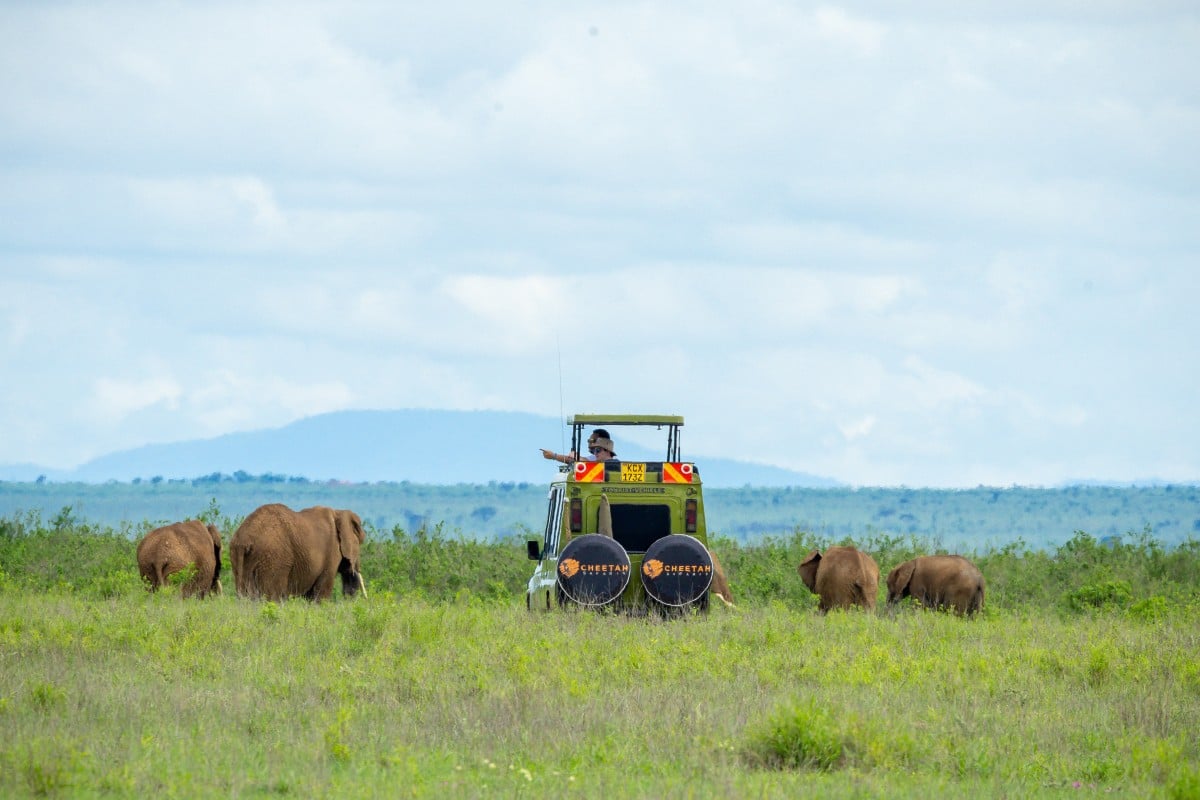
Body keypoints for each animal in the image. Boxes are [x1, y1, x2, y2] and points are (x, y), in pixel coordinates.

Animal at [229, 503, 367, 601]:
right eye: (360, 541)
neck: (338, 512)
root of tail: (244, 540)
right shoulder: (332, 552)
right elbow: (321, 592)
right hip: (273, 558)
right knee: (273, 596)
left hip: (239, 557)